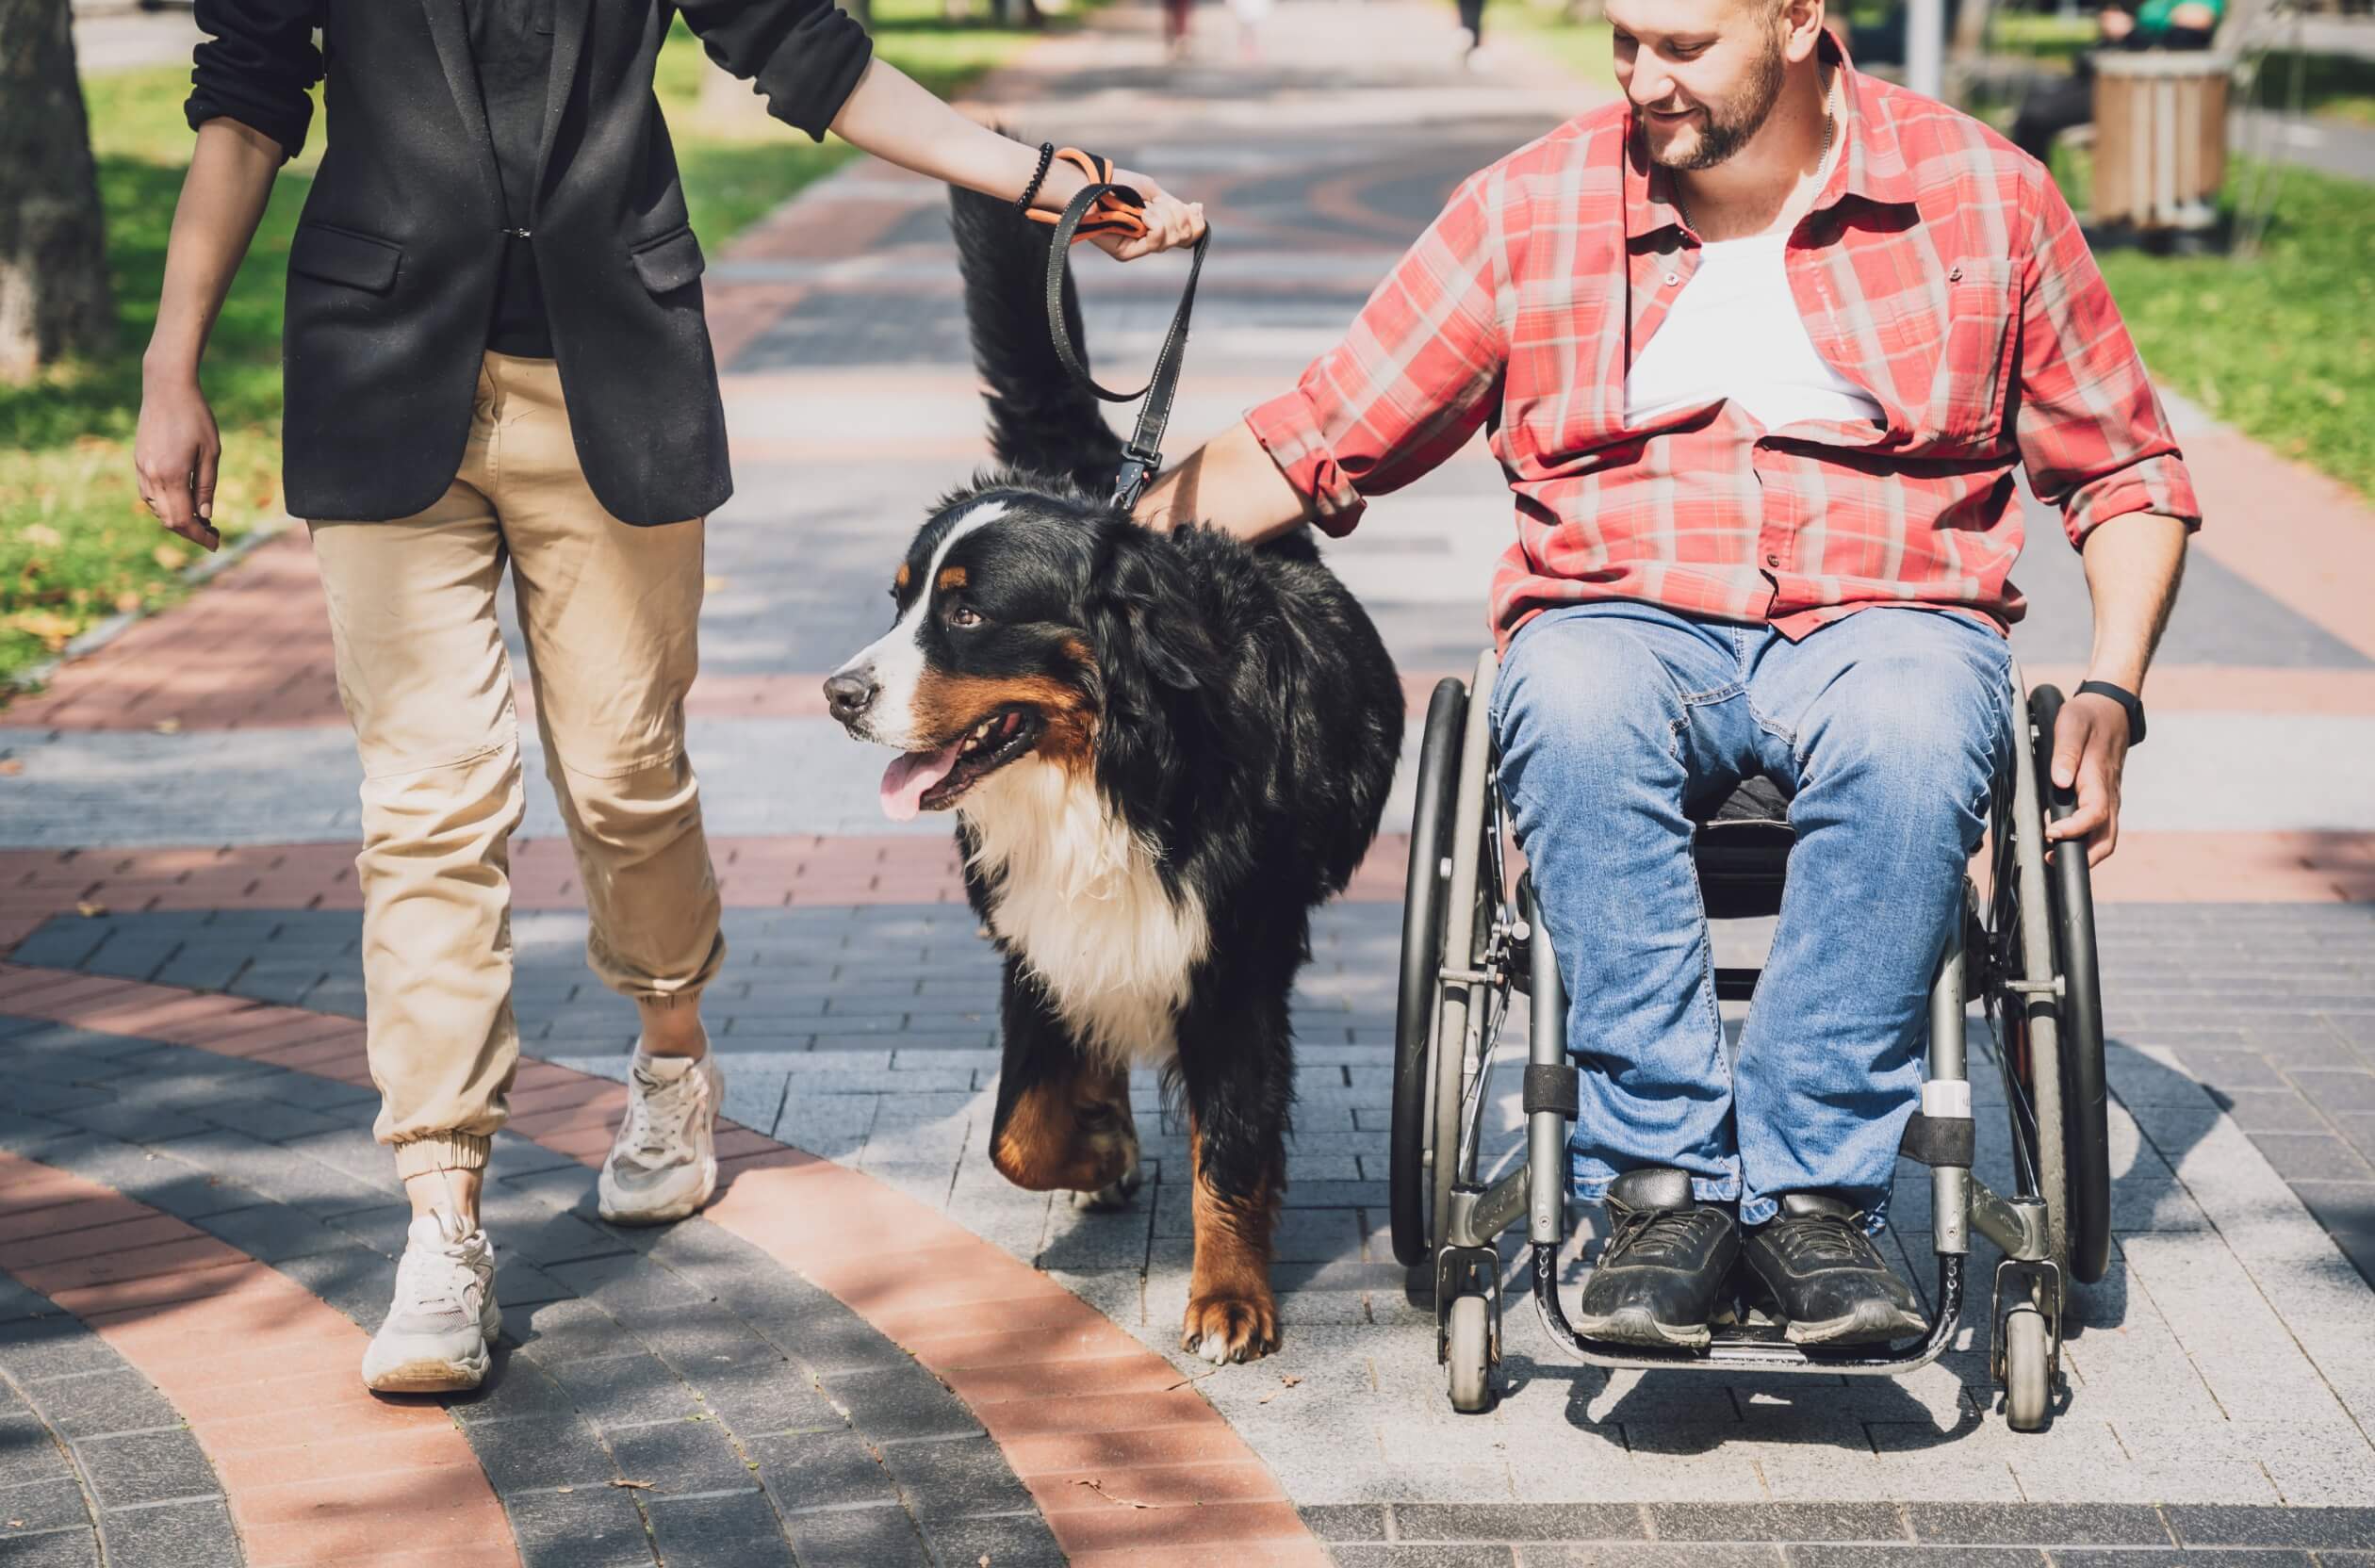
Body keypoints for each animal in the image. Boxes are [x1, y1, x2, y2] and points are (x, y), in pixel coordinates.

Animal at [826, 180, 1396, 1359]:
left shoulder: (1233, 955)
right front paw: (1099, 1145)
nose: (838, 692)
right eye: (898, 598)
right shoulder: (1037, 933)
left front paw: (1230, 1297)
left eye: (965, 613)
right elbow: (1018, 1131)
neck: (1109, 772)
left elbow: (1231, 1142)